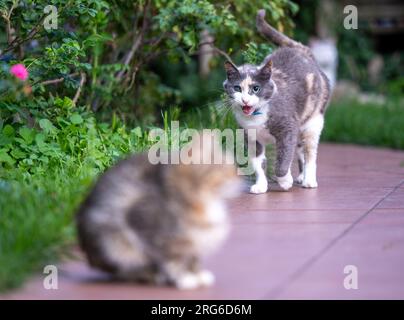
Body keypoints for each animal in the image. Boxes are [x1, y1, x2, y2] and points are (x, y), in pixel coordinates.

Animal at [76, 132, 240, 290]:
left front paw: (197, 274)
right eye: (224, 167)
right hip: (113, 243)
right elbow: (171, 258)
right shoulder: (143, 224)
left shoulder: (194, 243)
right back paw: (152, 276)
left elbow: (193, 257)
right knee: (125, 269)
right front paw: (184, 278)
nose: (237, 174)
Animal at [223, 10, 330, 194]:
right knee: (301, 150)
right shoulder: (251, 137)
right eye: (237, 88)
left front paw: (285, 181)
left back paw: (308, 180)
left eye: (256, 88)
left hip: (313, 122)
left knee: (310, 153)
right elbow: (258, 163)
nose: (245, 99)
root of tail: (302, 51)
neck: (256, 117)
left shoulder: (288, 129)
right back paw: (301, 177)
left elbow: (282, 161)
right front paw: (260, 186)